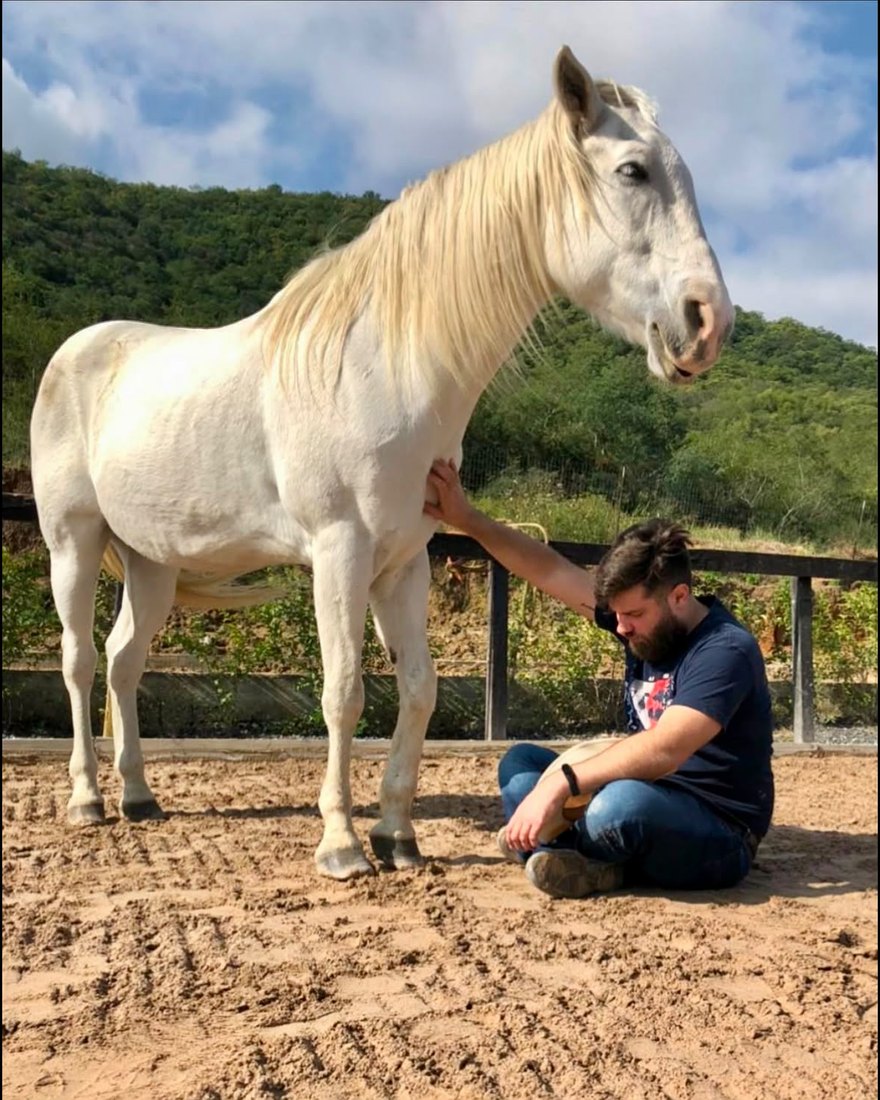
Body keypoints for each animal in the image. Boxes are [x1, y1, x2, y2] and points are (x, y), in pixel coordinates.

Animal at [30, 46, 733, 880]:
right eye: (633, 171)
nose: (708, 323)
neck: (386, 368)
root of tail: (76, 350)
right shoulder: (340, 552)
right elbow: (343, 692)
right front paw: (340, 844)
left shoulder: (404, 562)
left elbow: (420, 690)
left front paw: (398, 836)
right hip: (73, 543)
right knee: (78, 661)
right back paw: (87, 800)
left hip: (152, 562)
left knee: (122, 661)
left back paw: (138, 796)